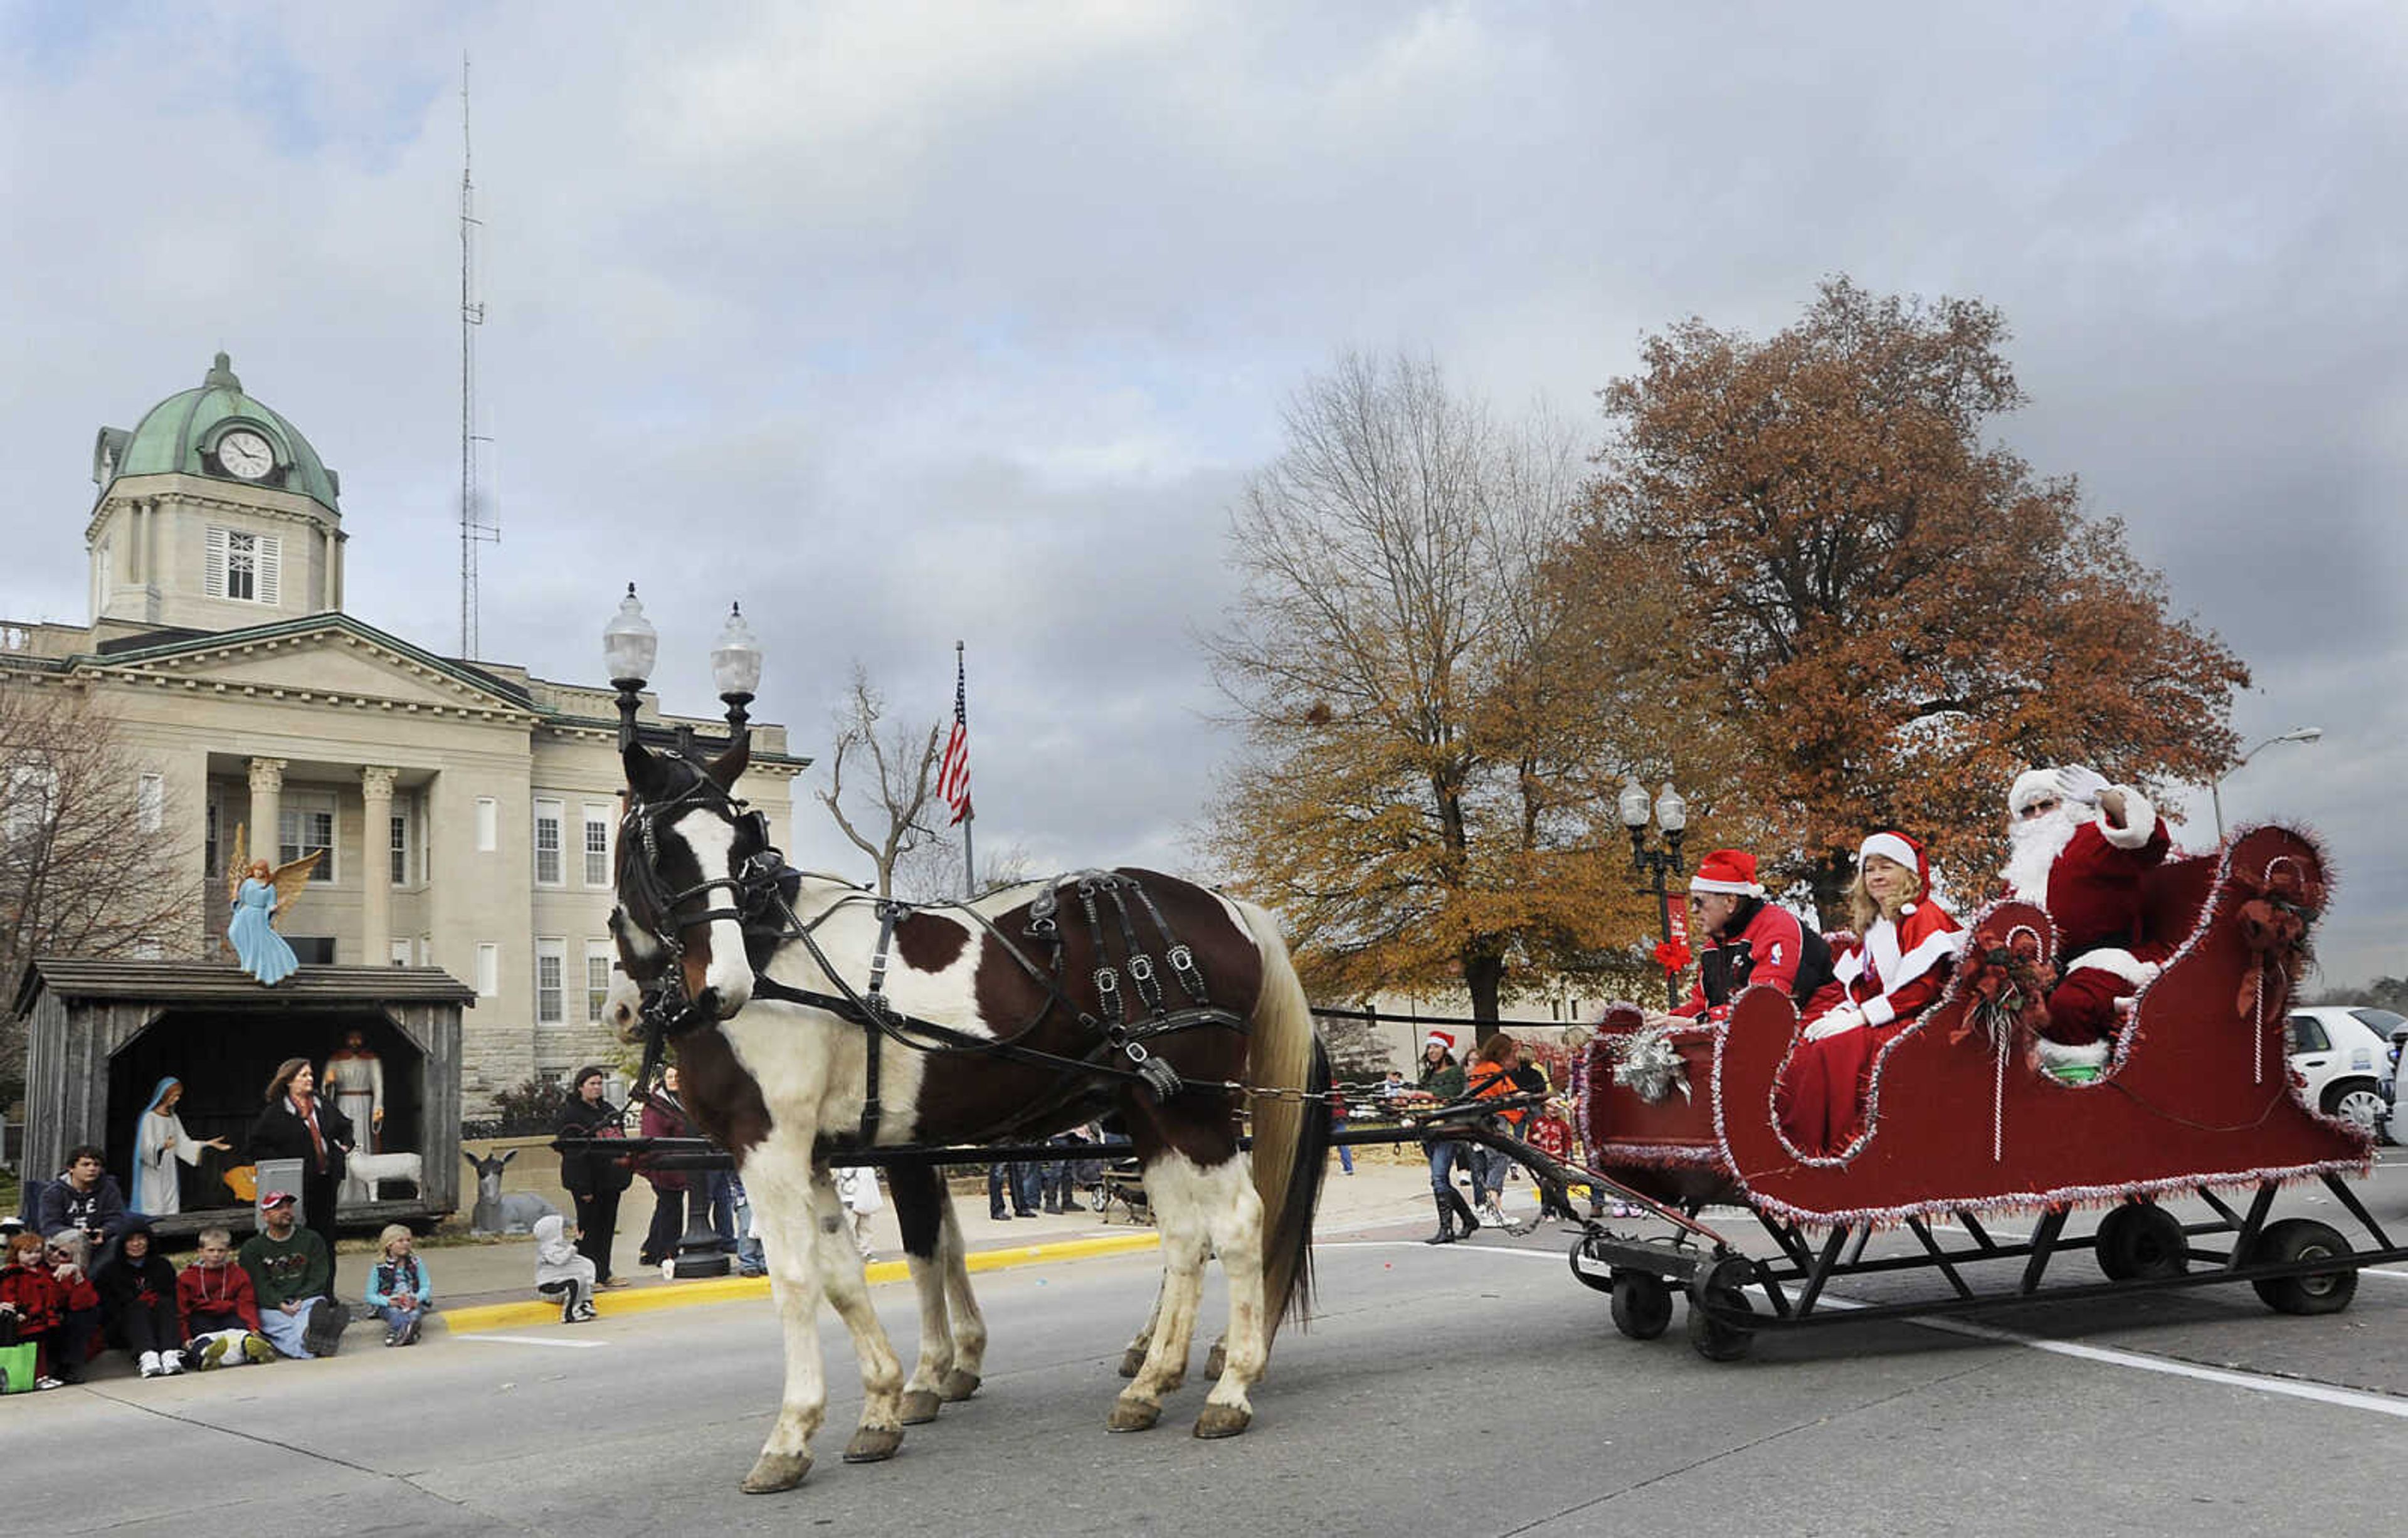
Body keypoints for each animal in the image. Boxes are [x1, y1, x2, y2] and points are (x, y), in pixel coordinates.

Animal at [611, 731, 1329, 1492]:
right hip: (1150, 1109)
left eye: (739, 843)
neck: (771, 949)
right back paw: (1152, 1380)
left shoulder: (770, 1146)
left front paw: (794, 1431)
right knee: (1185, 1237)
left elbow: (803, 1279)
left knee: (1239, 1222)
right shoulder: (819, 1152)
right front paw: (884, 1403)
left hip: (1195, 1105)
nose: (724, 986)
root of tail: (1226, 906)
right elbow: (846, 1275)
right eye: (662, 849)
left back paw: (1232, 1386)